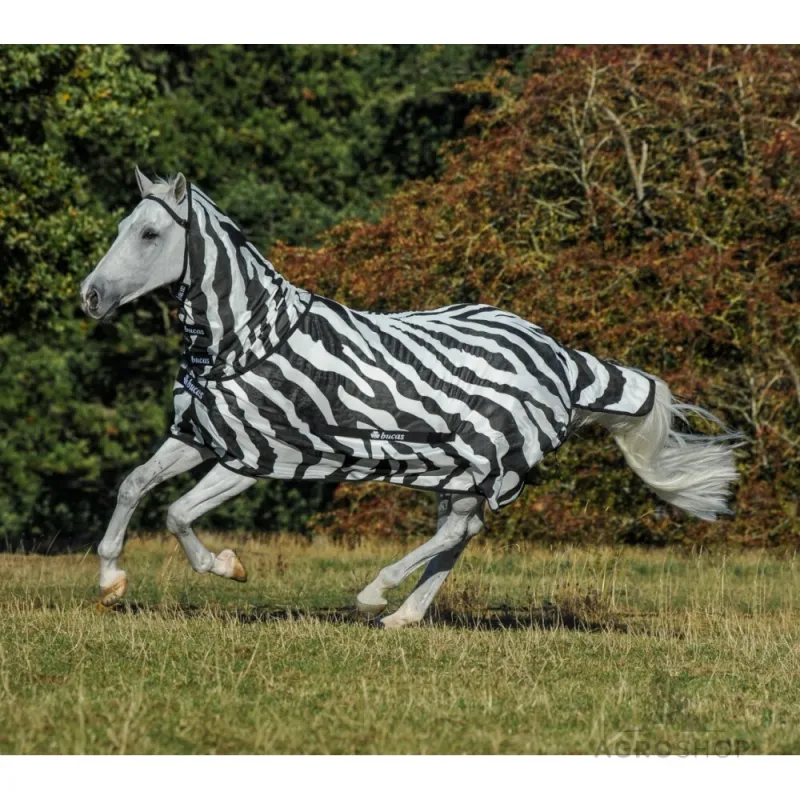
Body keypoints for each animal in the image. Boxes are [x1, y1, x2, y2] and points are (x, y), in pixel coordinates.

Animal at [79, 170, 741, 628]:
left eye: (150, 233)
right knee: (461, 533)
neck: (243, 339)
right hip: (461, 468)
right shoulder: (199, 436)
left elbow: (176, 513)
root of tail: (562, 357)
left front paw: (227, 566)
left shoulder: (256, 455)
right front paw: (111, 580)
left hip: (487, 460)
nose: (90, 296)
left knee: (458, 531)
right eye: (119, 228)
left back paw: (376, 594)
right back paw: (403, 615)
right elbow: (134, 487)